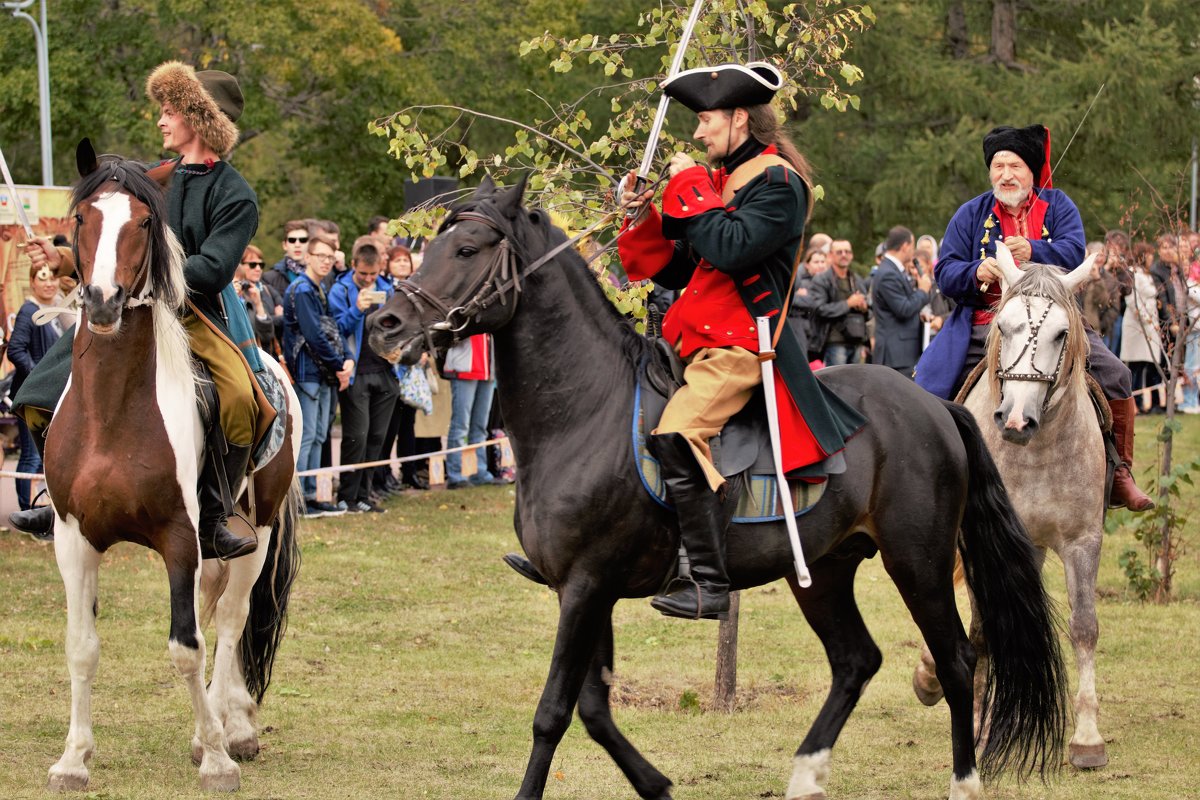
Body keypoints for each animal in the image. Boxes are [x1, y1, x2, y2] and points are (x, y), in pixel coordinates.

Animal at [42, 142, 304, 786]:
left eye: (142, 222)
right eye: (81, 218)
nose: (103, 301)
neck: (113, 413)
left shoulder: (182, 538)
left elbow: (188, 646)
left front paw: (215, 758)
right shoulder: (73, 537)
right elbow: (81, 645)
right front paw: (73, 759)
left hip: (255, 533)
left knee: (231, 620)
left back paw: (232, 727)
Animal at [367, 179, 1070, 800]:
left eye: (466, 250)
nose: (385, 323)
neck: (582, 409)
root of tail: (933, 406)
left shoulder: (586, 585)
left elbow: (554, 711)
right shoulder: (585, 590)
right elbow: (593, 709)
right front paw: (655, 784)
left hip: (917, 560)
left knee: (955, 660)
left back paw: (963, 781)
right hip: (821, 568)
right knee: (856, 661)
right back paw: (805, 775)